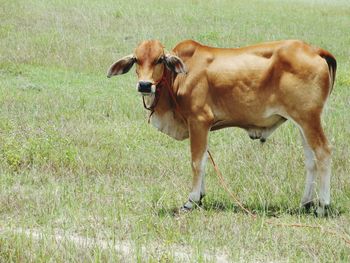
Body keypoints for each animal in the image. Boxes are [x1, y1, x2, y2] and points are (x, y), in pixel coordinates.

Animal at [107, 39, 336, 217]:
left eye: (160, 59)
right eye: (136, 59)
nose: (145, 85)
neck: (177, 78)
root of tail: (314, 49)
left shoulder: (199, 120)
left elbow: (196, 162)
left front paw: (191, 201)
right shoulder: (200, 127)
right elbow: (204, 160)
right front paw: (200, 197)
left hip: (309, 119)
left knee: (323, 152)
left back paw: (322, 206)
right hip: (302, 123)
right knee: (311, 160)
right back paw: (305, 203)